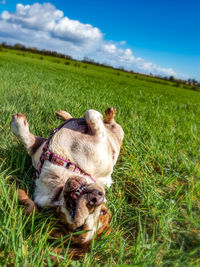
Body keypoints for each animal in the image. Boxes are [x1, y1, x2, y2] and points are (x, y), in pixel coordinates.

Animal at [11, 108, 123, 245]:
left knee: (109, 123)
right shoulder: (39, 148)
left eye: (80, 228)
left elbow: (92, 115)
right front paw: (18, 122)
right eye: (103, 211)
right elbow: (26, 138)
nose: (97, 199)